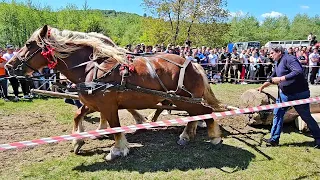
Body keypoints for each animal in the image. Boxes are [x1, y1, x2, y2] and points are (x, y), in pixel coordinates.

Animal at [5, 25, 225, 160]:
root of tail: (194, 64)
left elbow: (115, 127)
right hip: (184, 101)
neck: (90, 67)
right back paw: (187, 135)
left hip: (184, 99)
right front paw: (78, 140)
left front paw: (117, 150)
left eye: (28, 44)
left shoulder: (108, 105)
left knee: (204, 112)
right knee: (195, 115)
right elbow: (78, 115)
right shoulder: (93, 102)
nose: (8, 66)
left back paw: (213, 136)